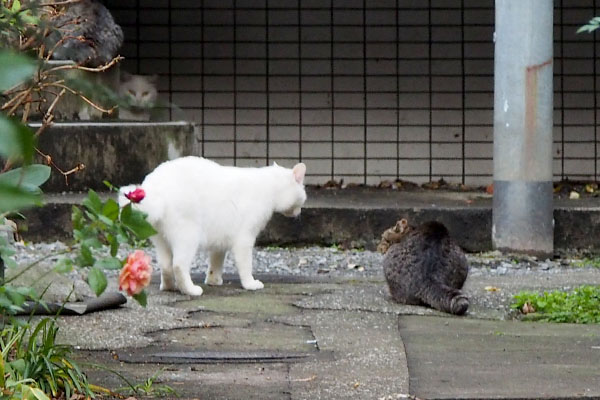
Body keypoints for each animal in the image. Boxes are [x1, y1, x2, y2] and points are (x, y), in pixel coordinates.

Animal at [119, 157, 308, 296]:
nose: (299, 211)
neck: (269, 187)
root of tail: (155, 189)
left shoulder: (220, 240)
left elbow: (216, 261)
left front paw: (214, 281)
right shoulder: (244, 239)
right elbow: (246, 266)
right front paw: (250, 284)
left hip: (161, 240)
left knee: (165, 266)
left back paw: (169, 287)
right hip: (188, 235)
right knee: (178, 265)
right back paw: (191, 290)